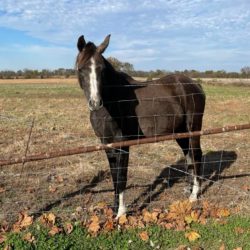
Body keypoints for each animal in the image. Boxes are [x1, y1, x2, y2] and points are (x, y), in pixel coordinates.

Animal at [75, 34, 206, 218]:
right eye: (81, 69)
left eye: (102, 70)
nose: (95, 103)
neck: (113, 101)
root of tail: (195, 85)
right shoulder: (107, 145)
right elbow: (114, 177)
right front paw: (114, 209)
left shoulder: (123, 145)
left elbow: (121, 177)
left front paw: (121, 213)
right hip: (180, 132)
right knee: (189, 156)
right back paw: (188, 189)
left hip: (193, 129)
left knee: (196, 155)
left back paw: (194, 194)